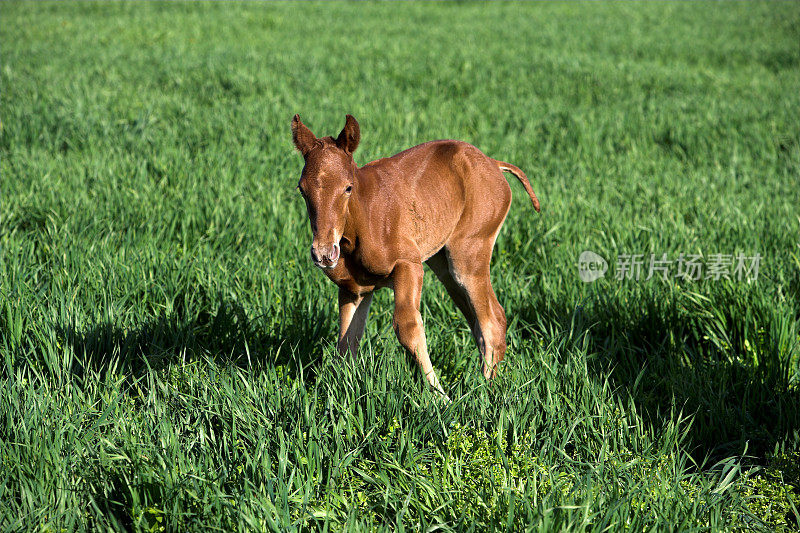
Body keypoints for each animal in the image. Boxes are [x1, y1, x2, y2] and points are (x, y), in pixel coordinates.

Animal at [290, 113, 540, 394]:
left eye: (348, 188)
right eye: (302, 189)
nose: (324, 253)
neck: (362, 220)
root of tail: (494, 164)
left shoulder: (408, 265)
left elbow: (407, 326)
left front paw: (440, 397)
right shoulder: (354, 290)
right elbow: (347, 343)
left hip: (468, 255)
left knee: (492, 320)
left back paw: (485, 390)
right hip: (443, 265)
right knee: (480, 320)